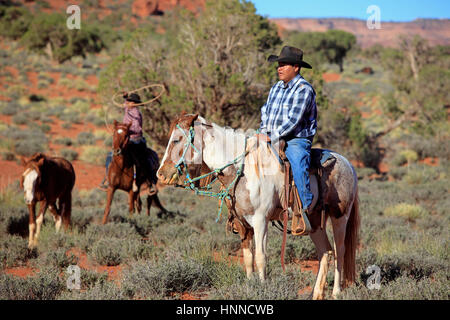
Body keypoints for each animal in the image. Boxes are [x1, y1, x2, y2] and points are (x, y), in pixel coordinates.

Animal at [156, 114, 360, 300]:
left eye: (176, 139)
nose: (160, 174)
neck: (243, 170)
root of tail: (348, 164)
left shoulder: (261, 220)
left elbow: (261, 257)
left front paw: (262, 290)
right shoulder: (242, 224)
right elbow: (248, 259)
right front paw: (249, 288)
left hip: (340, 217)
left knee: (340, 251)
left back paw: (336, 292)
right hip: (314, 223)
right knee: (325, 252)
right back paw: (316, 294)